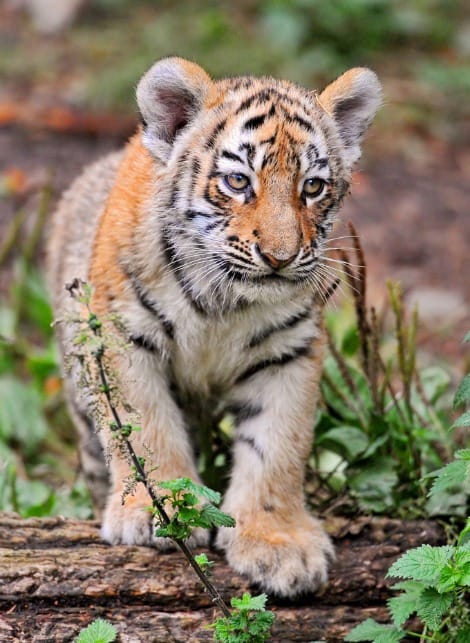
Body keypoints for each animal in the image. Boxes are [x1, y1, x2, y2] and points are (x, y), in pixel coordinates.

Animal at [47, 57, 381, 597]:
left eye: (312, 186)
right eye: (238, 182)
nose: (281, 257)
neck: (224, 300)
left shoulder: (288, 353)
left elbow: (278, 445)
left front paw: (277, 541)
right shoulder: (124, 340)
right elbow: (146, 432)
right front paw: (159, 511)